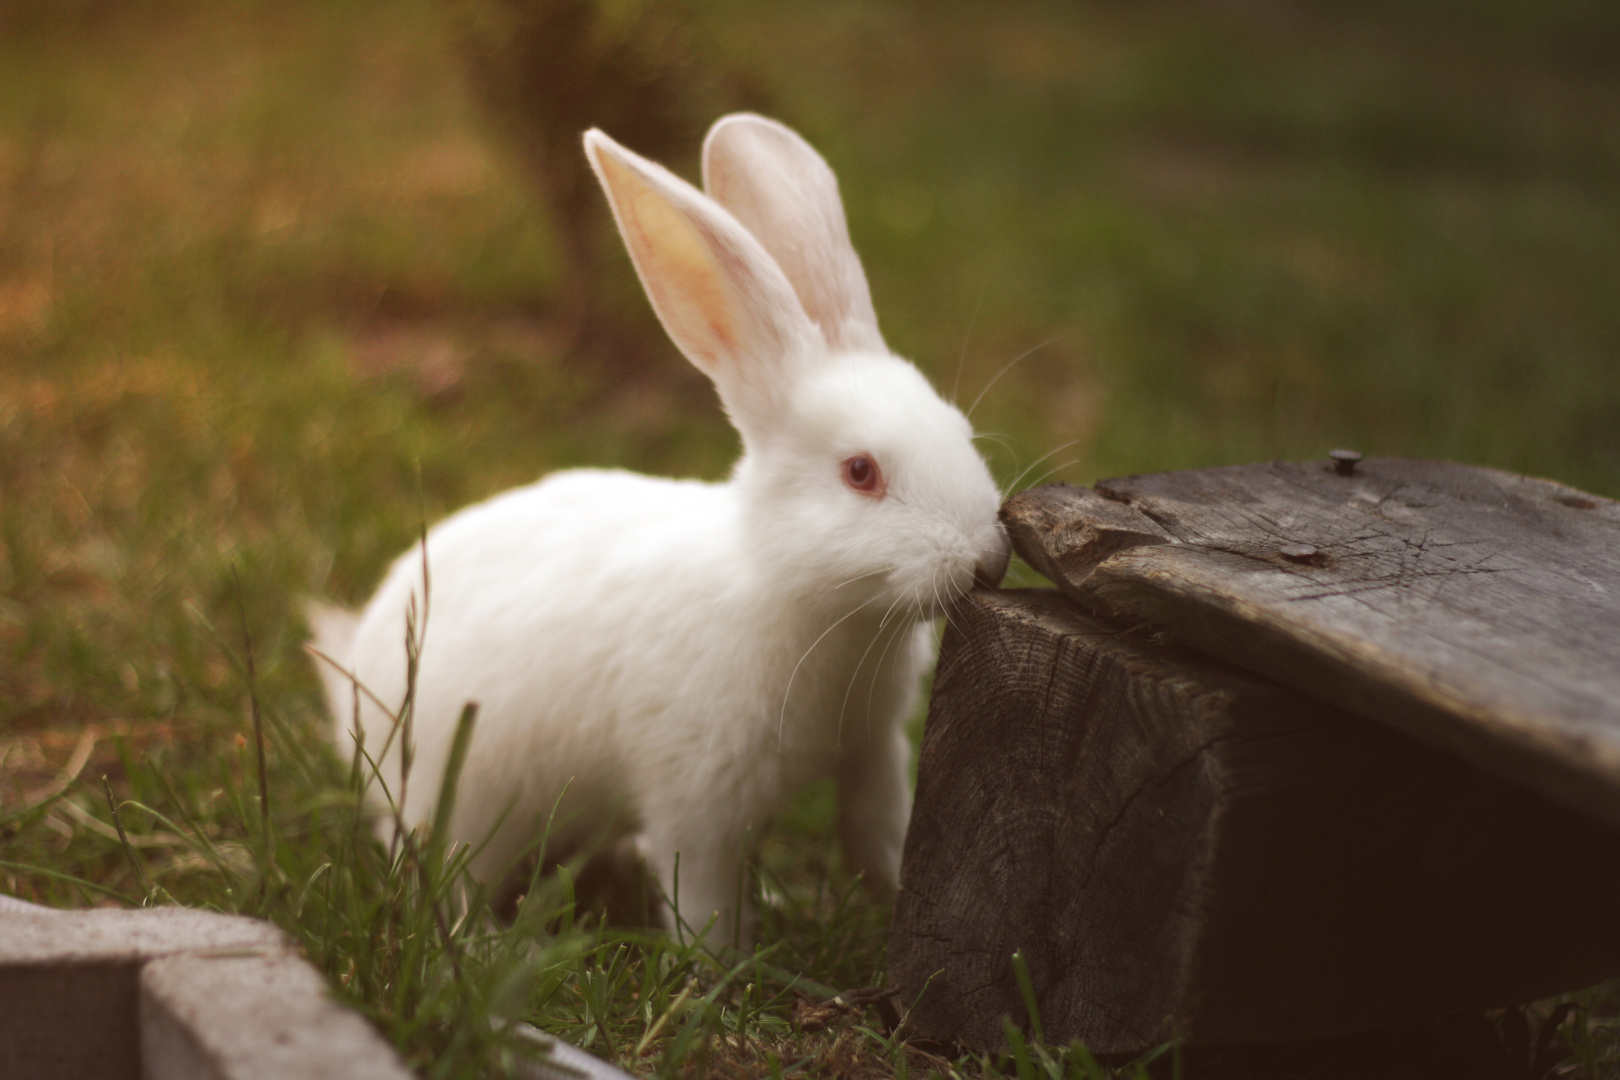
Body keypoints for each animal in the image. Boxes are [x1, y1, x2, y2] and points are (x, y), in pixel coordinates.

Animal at [307, 114, 1004, 952]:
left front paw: (895, 894)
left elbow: (878, 837)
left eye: (961, 432)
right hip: (462, 801)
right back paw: (491, 944)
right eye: (861, 472)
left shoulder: (869, 756)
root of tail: (358, 682)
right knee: (443, 879)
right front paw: (721, 963)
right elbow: (699, 892)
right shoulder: (698, 794)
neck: (803, 601)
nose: (988, 559)